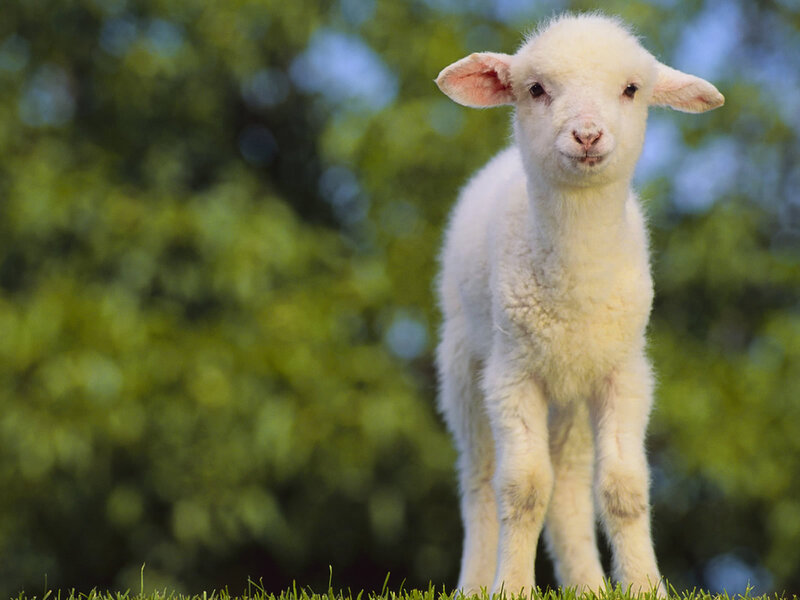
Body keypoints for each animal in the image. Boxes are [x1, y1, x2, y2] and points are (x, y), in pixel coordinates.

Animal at [434, 13, 723, 597]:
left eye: (631, 89)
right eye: (535, 89)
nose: (587, 134)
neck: (577, 287)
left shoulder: (625, 373)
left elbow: (624, 487)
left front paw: (646, 586)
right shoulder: (512, 374)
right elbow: (522, 488)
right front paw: (512, 587)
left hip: (571, 395)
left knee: (568, 487)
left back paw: (588, 584)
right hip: (463, 368)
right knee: (479, 480)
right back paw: (475, 583)